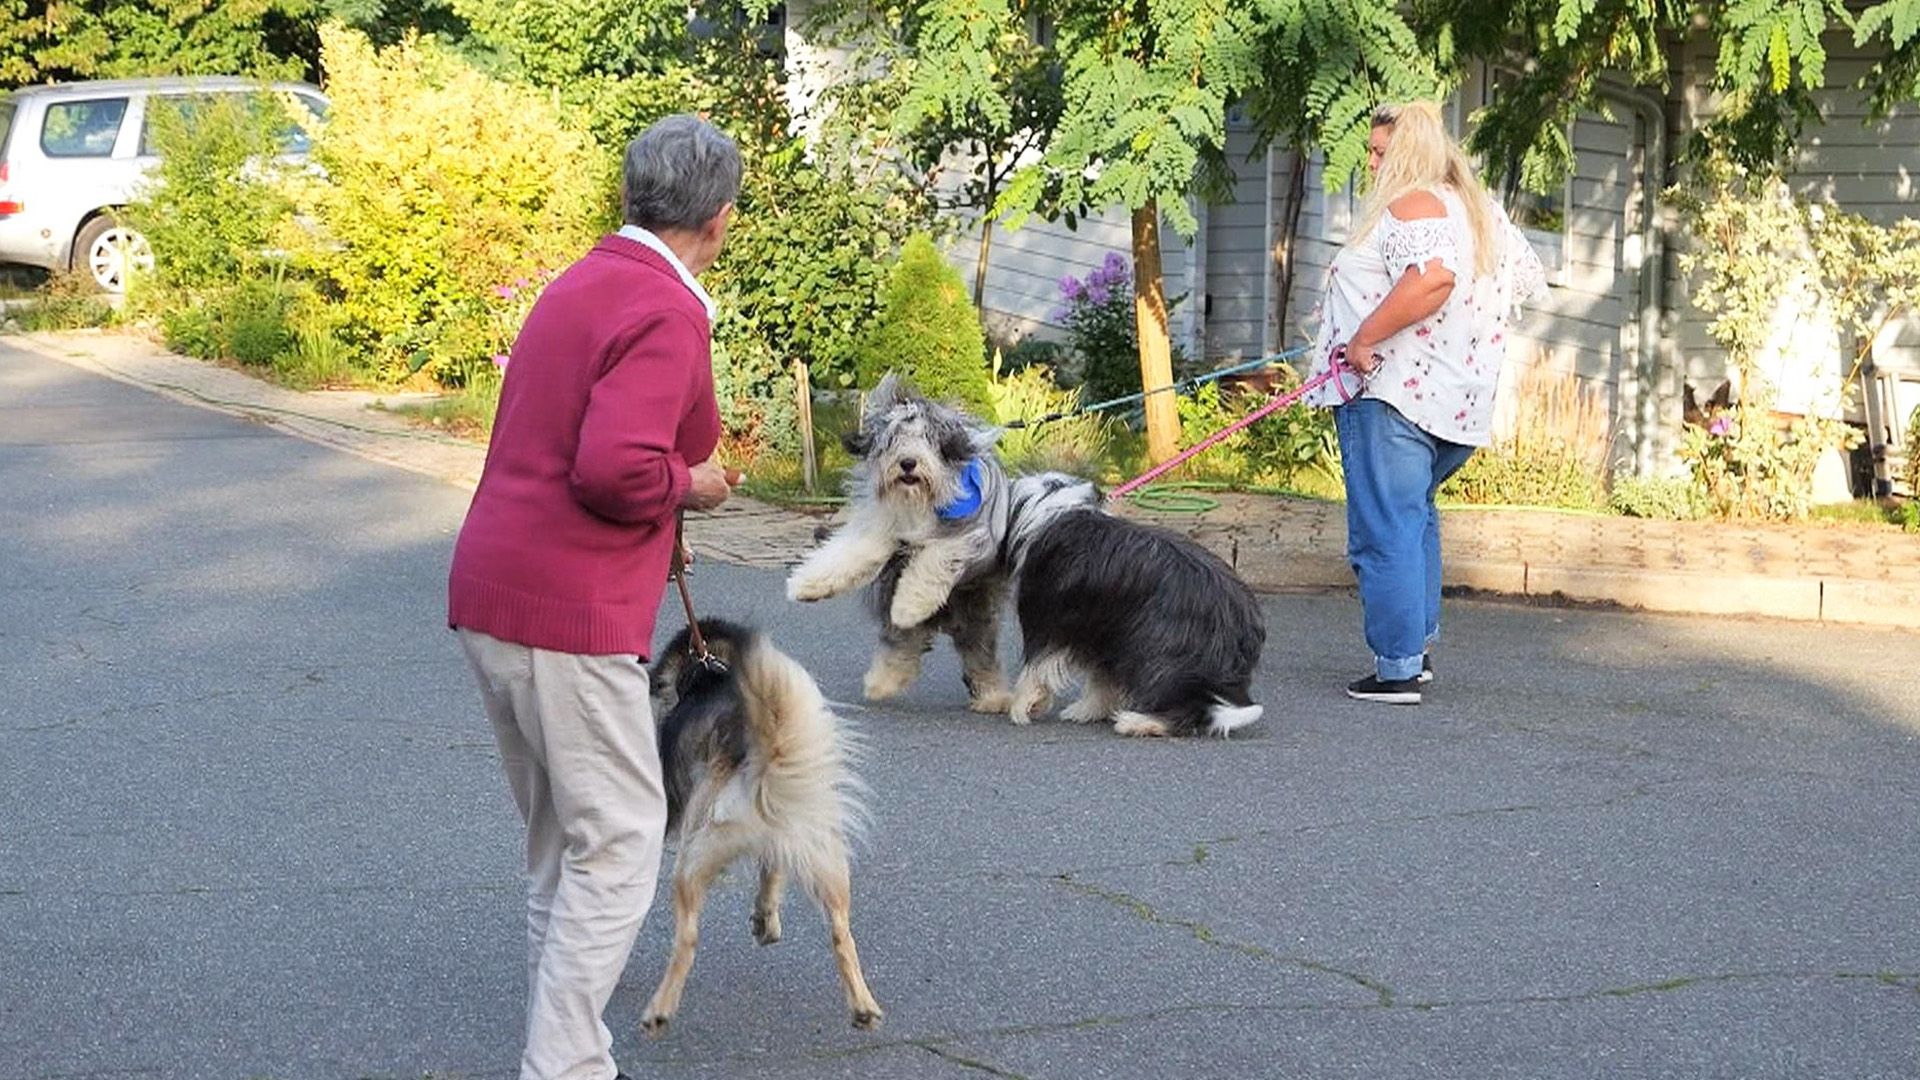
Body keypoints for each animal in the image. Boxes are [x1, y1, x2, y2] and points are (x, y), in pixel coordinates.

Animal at [645, 622, 883, 1037]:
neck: (709, 674)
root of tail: (764, 760)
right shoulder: (781, 837)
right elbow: (772, 872)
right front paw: (766, 919)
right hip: (824, 856)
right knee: (842, 933)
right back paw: (863, 1007)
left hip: (695, 856)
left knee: (687, 939)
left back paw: (659, 1011)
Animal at [783, 374, 1013, 711]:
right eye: (892, 439)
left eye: (927, 438)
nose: (908, 463)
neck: (918, 502)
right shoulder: (881, 528)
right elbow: (848, 554)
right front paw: (806, 584)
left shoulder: (972, 534)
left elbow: (937, 559)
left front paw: (909, 605)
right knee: (903, 643)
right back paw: (884, 680)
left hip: (975, 608)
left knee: (978, 650)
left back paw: (995, 696)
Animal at [998, 472, 1267, 734]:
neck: (1057, 505)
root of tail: (1243, 624)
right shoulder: (1105, 628)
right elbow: (1102, 679)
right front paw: (1089, 710)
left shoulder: (1045, 618)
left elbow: (1034, 669)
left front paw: (1022, 706)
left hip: (1160, 649)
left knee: (1191, 710)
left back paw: (1139, 722)